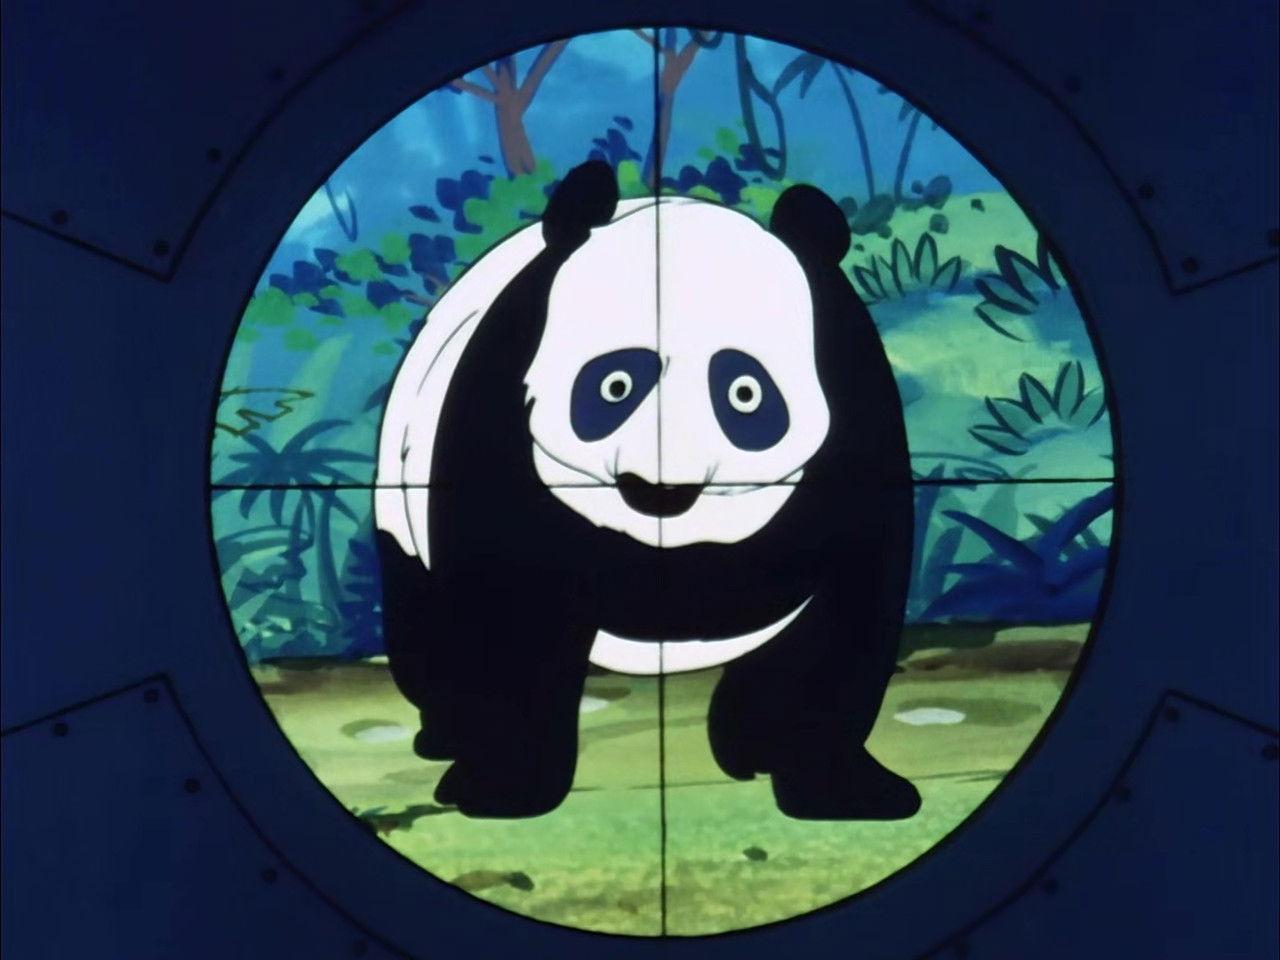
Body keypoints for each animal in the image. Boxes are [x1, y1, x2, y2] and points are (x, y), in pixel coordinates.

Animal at [374, 160, 919, 821]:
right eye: (615, 385)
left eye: (745, 393)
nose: (663, 491)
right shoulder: (494, 418)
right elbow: (509, 612)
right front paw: (502, 785)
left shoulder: (856, 427)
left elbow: (838, 618)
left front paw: (837, 786)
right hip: (400, 499)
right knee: (425, 631)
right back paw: (446, 735)